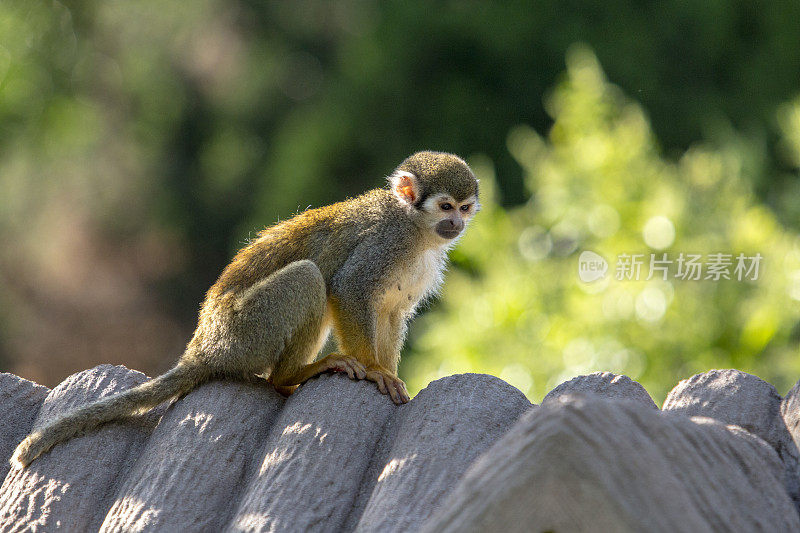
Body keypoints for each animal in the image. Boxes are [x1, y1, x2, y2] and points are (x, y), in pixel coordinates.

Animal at [12, 150, 478, 466]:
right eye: (445, 207)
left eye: (465, 208)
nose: (457, 224)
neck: (416, 230)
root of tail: (202, 347)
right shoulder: (387, 241)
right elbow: (349, 290)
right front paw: (377, 371)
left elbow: (392, 312)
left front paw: (391, 373)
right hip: (246, 330)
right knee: (310, 277)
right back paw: (290, 376)